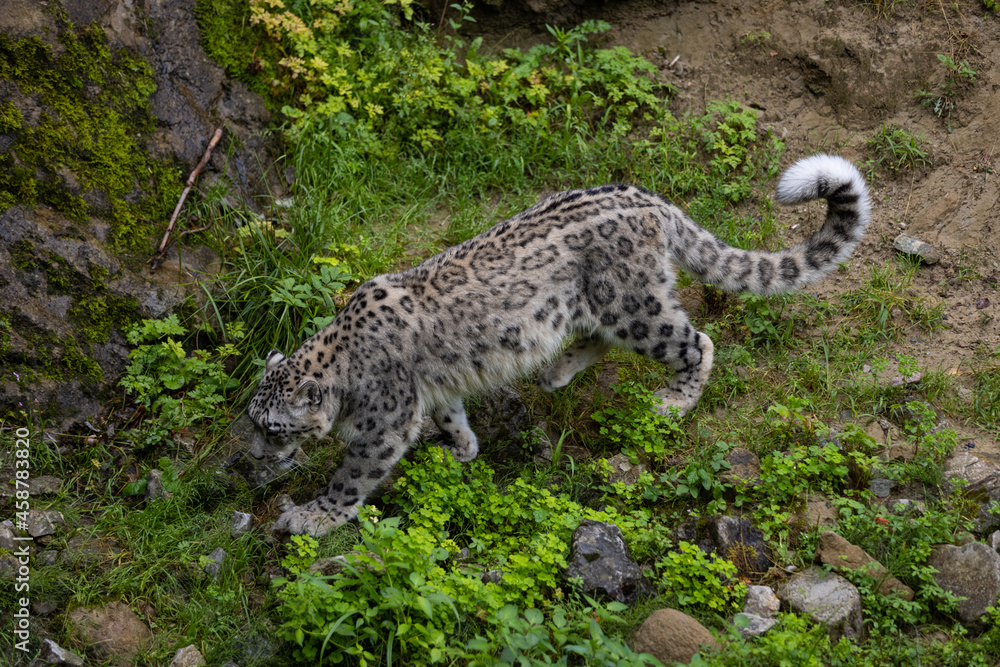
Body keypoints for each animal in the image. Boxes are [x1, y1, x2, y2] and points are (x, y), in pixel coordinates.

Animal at [247, 154, 870, 536]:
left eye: (271, 428)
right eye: (253, 420)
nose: (252, 456)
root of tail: (652, 200)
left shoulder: (385, 421)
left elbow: (352, 476)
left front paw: (310, 517)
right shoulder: (435, 388)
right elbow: (451, 414)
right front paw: (460, 449)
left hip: (633, 305)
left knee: (698, 341)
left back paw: (673, 402)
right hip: (602, 306)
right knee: (600, 338)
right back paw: (555, 372)